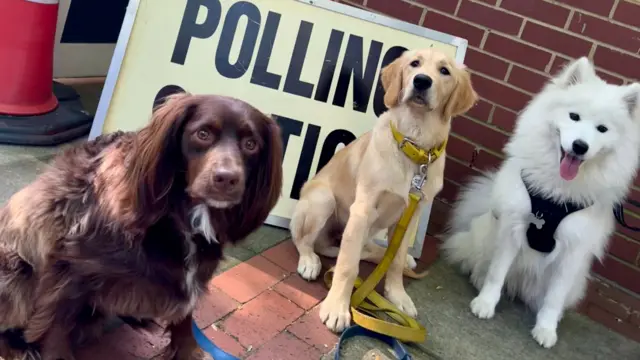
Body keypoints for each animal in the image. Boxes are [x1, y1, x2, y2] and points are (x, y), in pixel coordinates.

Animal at [0, 93, 282, 360]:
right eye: (203, 134)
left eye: (251, 144)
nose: (227, 179)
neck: (180, 214)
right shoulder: (70, 264)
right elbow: (57, 321)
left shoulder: (195, 272)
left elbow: (186, 315)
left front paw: (187, 350)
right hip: (15, 268)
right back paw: (17, 347)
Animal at [288, 47, 476, 332]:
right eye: (414, 64)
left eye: (444, 71)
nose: (422, 81)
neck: (415, 146)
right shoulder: (363, 208)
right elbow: (347, 267)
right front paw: (337, 308)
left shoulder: (411, 215)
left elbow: (395, 262)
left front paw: (397, 296)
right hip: (323, 200)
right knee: (304, 240)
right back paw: (309, 261)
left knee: (374, 252)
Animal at [442, 57, 640, 348]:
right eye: (574, 116)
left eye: (602, 129)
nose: (580, 146)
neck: (557, 192)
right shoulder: (514, 226)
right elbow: (496, 273)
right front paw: (485, 304)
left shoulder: (572, 250)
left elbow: (554, 298)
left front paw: (546, 329)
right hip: (485, 234)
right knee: (480, 263)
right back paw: (478, 278)